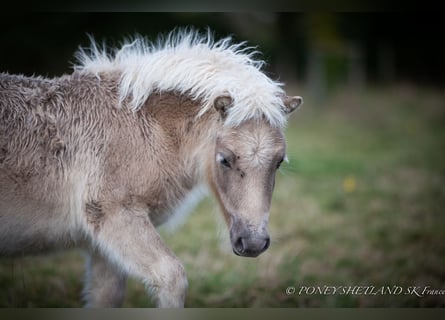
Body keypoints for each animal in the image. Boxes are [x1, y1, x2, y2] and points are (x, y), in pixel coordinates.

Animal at [0, 30, 302, 308]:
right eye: (224, 159)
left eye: (279, 161)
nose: (253, 243)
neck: (138, 125)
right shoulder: (118, 217)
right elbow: (172, 278)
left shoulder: (101, 247)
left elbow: (106, 297)